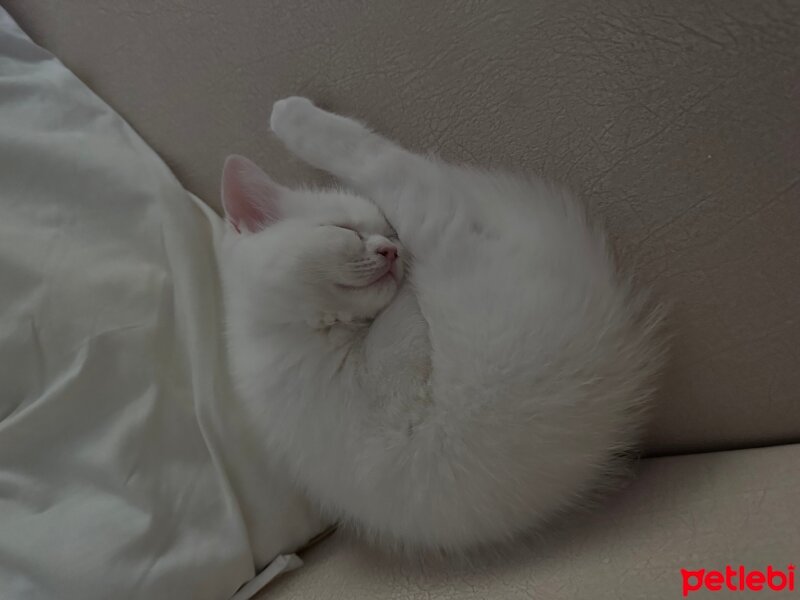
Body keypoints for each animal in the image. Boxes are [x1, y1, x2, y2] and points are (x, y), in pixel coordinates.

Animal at [217, 97, 664, 552]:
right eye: (344, 228)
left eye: (386, 232)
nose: (392, 250)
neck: (284, 329)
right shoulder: (395, 392)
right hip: (447, 235)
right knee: (389, 165)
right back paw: (293, 116)